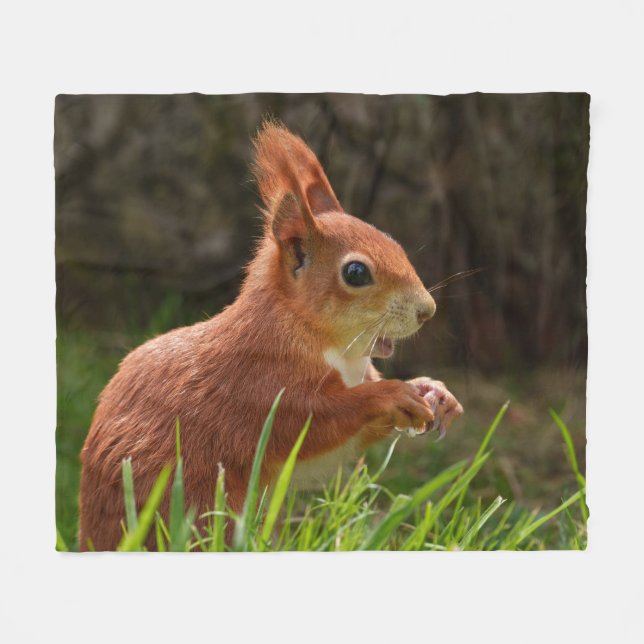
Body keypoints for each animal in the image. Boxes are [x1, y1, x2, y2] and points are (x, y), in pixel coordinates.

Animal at [78, 121, 464, 550]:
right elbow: (319, 420)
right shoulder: (262, 389)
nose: (426, 310)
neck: (331, 346)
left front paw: (435, 391)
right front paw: (392, 394)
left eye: (393, 241)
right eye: (356, 273)